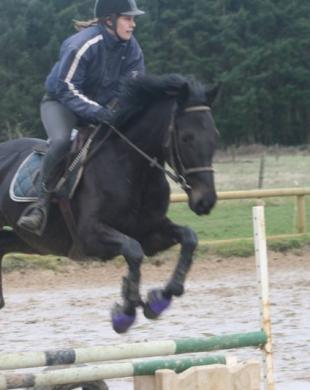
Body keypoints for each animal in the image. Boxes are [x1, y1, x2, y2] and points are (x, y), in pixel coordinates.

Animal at [0, 73, 218, 332]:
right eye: (186, 138)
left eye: (215, 136)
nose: (205, 201)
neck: (132, 169)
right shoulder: (91, 235)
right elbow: (133, 250)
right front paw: (126, 311)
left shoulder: (151, 232)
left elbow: (188, 238)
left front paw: (161, 298)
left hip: (28, 240)